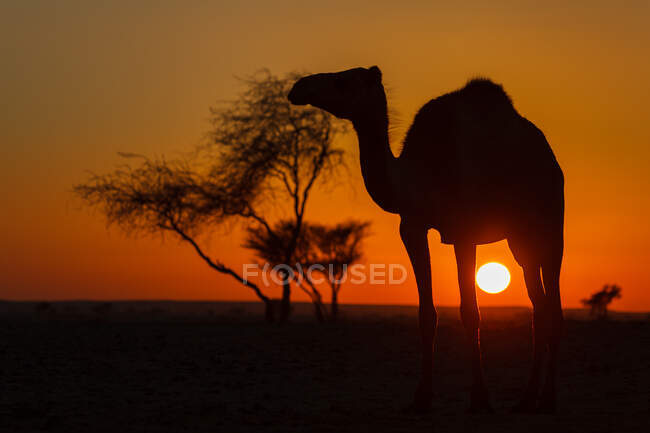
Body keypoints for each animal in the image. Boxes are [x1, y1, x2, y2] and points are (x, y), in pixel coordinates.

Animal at [288, 66, 560, 412]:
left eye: (342, 81)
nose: (299, 87)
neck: (416, 176)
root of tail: (550, 159)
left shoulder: (463, 231)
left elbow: (470, 312)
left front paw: (479, 398)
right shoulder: (412, 227)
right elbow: (426, 314)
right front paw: (422, 397)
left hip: (551, 223)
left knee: (553, 305)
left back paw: (547, 398)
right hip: (519, 237)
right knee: (540, 306)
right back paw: (527, 399)